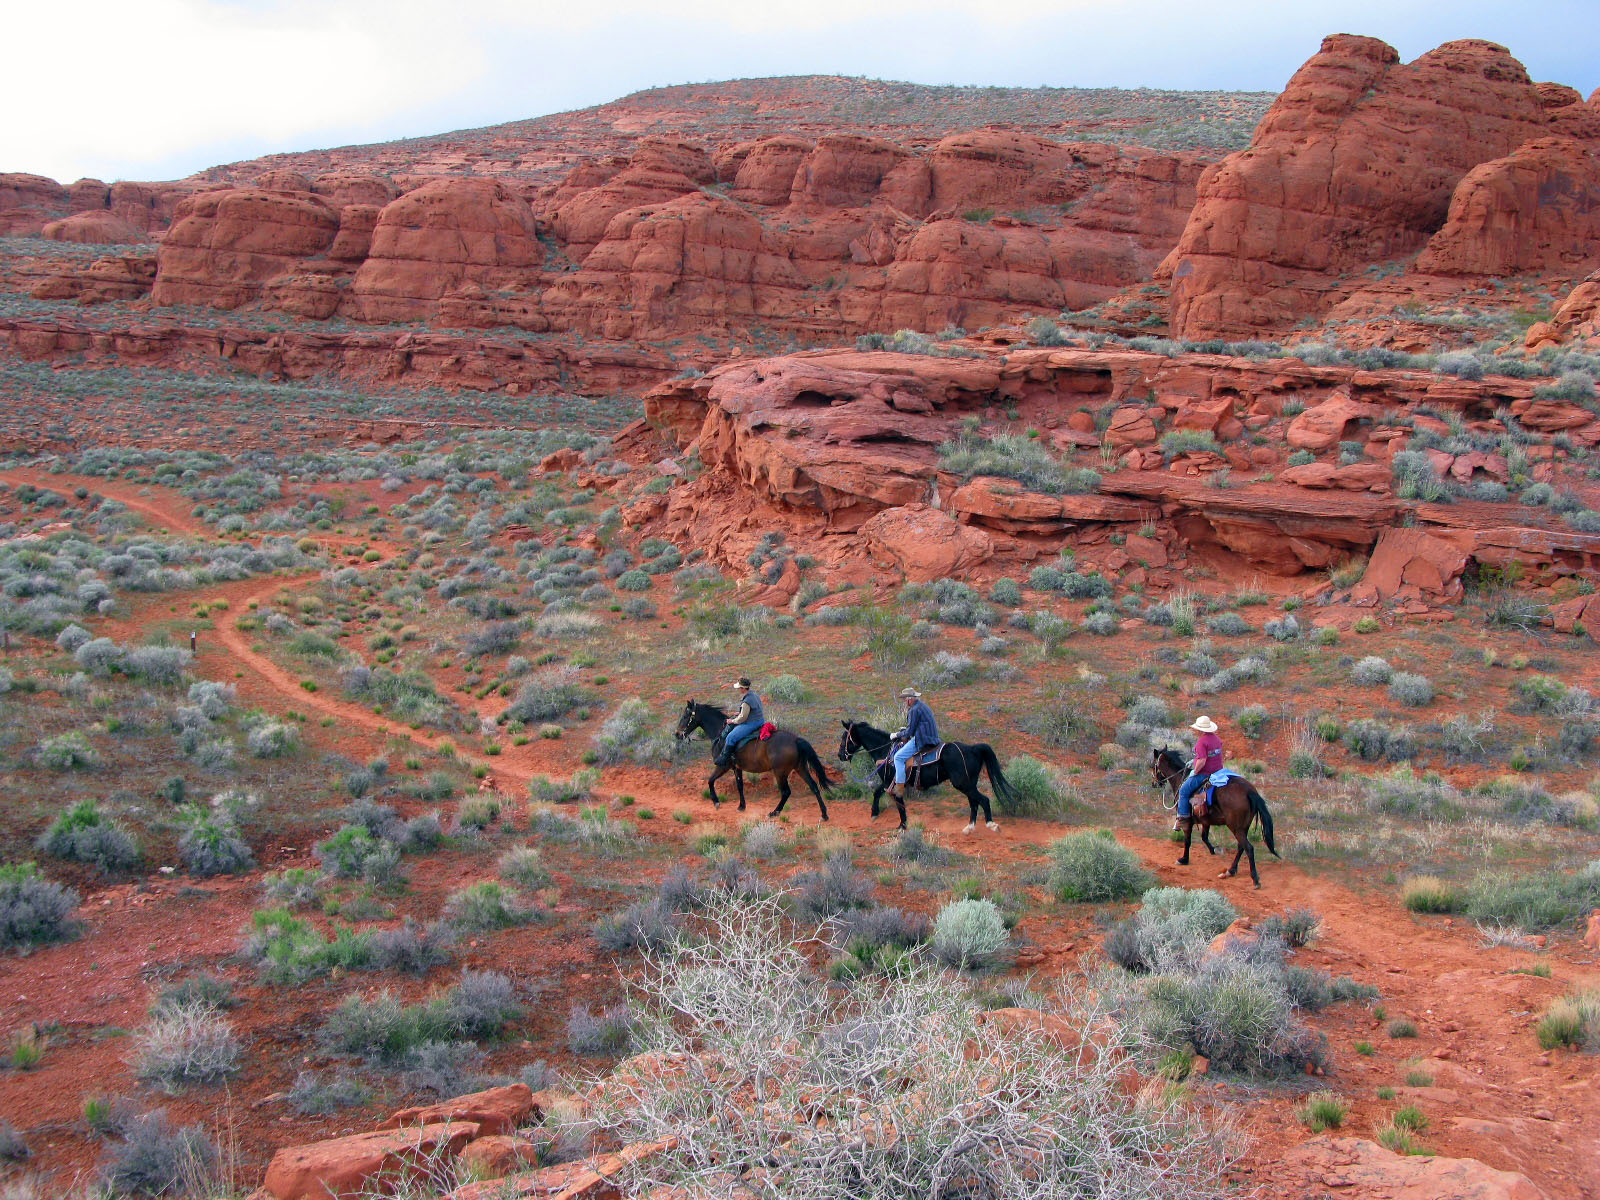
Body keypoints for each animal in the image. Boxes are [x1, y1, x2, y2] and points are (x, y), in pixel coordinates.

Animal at [672, 700, 832, 825]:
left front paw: (716, 802)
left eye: (685, 716)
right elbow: (740, 786)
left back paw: (774, 812)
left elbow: (710, 781)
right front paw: (741, 806)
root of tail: (795, 740)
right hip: (800, 768)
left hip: (780, 773)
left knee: (786, 792)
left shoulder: (723, 766)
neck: (721, 734)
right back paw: (824, 814)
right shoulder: (736, 768)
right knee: (814, 786)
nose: (677, 734)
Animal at [832, 723, 1017, 838]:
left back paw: (991, 825)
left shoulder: (890, 782)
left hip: (963, 784)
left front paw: (877, 816)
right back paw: (969, 828)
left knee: (983, 800)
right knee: (974, 803)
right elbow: (897, 802)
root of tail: (973, 748)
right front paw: (902, 825)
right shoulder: (894, 784)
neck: (886, 751)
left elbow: (882, 795)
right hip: (968, 784)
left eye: (844, 737)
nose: (840, 755)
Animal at [1145, 748, 1280, 889]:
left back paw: (1255, 879)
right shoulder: (1206, 821)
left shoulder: (1187, 820)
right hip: (1244, 827)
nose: (1154, 783)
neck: (1180, 779)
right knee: (1241, 847)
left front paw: (1184, 859)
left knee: (1249, 848)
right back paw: (1230, 871)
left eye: (1153, 765)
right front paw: (1213, 850)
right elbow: (1204, 837)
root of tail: (1250, 791)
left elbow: (1188, 840)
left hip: (1236, 828)